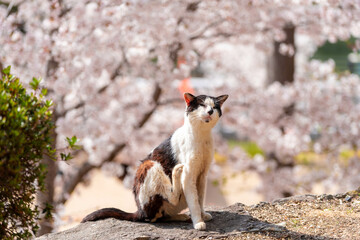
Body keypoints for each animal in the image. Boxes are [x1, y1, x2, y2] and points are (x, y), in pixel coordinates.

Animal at [81, 92, 228, 231]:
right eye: (202, 105)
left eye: (214, 107)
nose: (210, 111)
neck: (202, 137)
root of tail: (140, 211)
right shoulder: (189, 175)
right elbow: (194, 201)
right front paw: (198, 222)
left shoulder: (202, 175)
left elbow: (200, 199)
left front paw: (203, 215)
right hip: (149, 165)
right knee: (164, 205)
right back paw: (176, 173)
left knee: (160, 217)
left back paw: (180, 216)